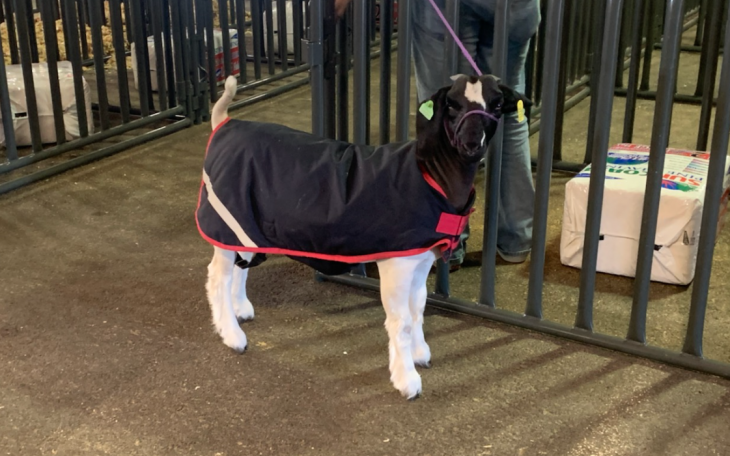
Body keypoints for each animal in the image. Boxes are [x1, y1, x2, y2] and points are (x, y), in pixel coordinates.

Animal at [197, 74, 531, 400]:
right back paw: (232, 334)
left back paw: (241, 309)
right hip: (222, 216)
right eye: (452, 104)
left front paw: (420, 353)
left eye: (497, 104)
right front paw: (407, 379)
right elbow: (401, 321)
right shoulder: (396, 262)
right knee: (217, 278)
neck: (432, 174)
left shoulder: (420, 258)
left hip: (244, 224)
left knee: (241, 265)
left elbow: (418, 307)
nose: (472, 143)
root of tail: (224, 122)